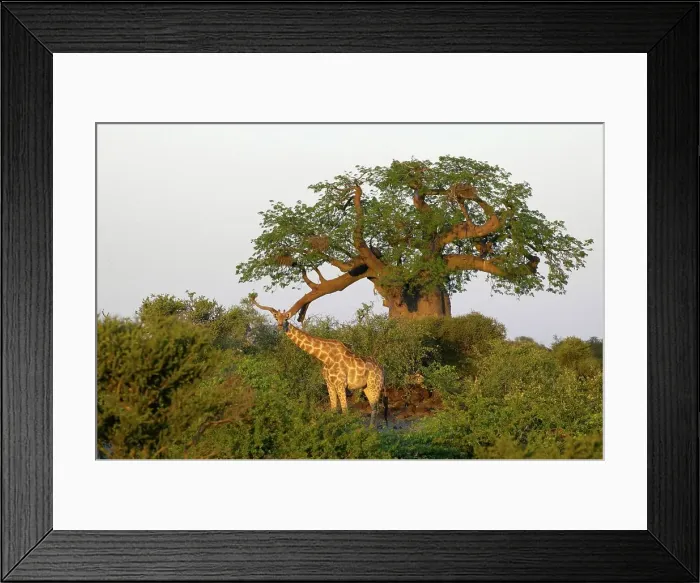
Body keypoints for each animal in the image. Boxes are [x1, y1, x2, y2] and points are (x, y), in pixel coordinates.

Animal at [250, 296, 388, 427]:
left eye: (285, 319)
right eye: (276, 318)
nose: (279, 327)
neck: (325, 357)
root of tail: (382, 369)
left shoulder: (340, 384)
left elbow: (345, 411)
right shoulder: (329, 384)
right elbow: (333, 409)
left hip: (375, 386)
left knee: (376, 408)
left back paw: (372, 431)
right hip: (366, 387)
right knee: (373, 408)